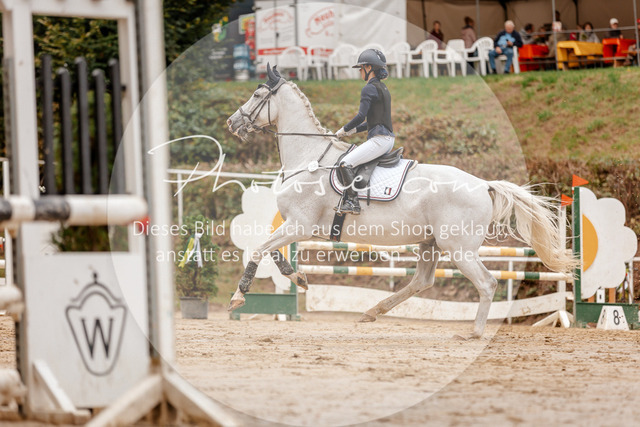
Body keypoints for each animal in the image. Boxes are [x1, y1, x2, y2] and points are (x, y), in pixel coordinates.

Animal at [226, 64, 575, 338]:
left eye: (256, 95)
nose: (232, 123)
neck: (310, 159)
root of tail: (483, 184)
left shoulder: (299, 225)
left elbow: (259, 249)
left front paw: (238, 298)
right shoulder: (295, 227)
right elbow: (271, 251)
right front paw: (297, 277)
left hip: (458, 248)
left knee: (487, 283)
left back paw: (473, 333)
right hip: (430, 243)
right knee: (422, 281)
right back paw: (372, 311)